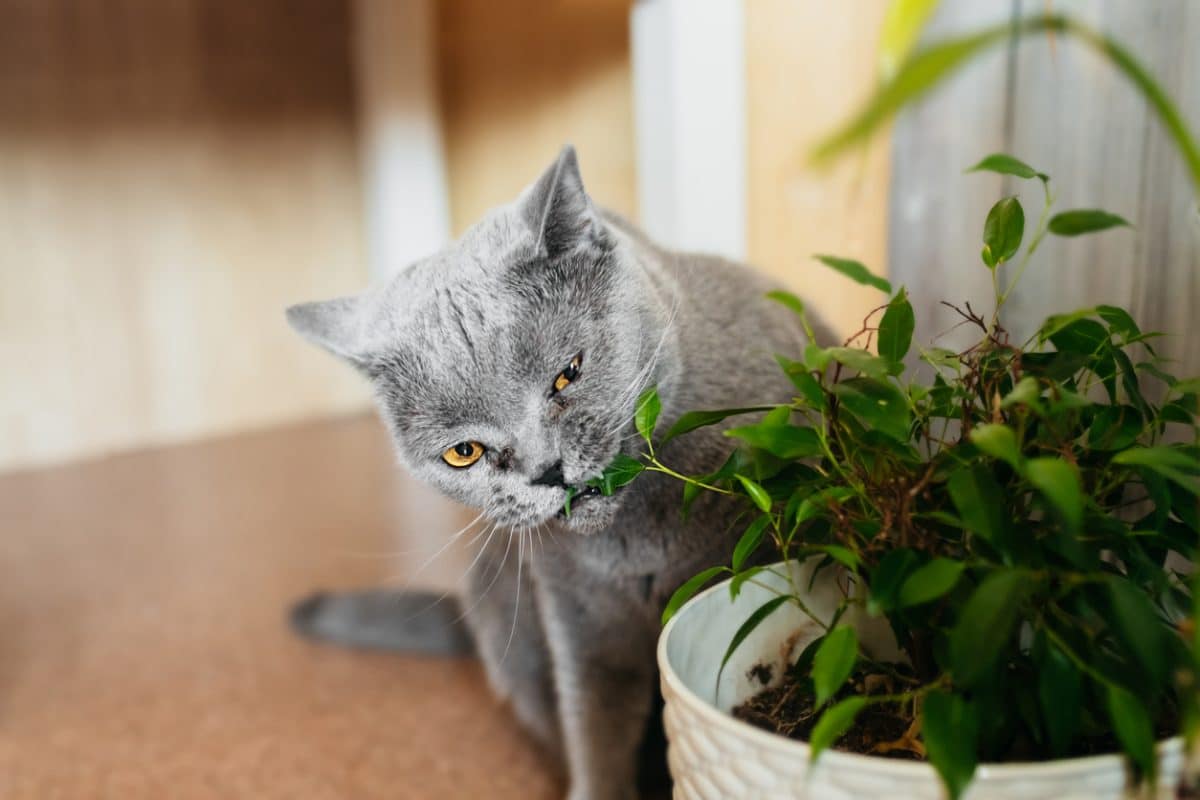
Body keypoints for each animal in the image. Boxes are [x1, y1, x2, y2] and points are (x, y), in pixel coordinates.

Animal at [286, 146, 830, 796]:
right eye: (463, 452)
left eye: (568, 374)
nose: (547, 468)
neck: (635, 539)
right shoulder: (577, 615)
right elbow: (595, 724)